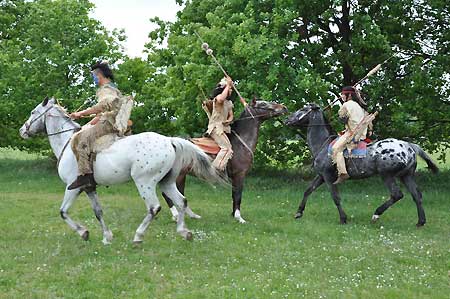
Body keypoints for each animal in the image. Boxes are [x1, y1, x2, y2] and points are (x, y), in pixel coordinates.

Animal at [19, 97, 225, 245]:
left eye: (32, 112)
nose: (22, 130)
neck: (67, 142)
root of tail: (169, 140)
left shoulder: (74, 187)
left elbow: (63, 212)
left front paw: (84, 233)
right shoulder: (89, 188)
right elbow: (98, 212)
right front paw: (107, 237)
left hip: (145, 182)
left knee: (154, 207)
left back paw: (138, 236)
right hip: (166, 182)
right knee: (181, 201)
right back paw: (184, 232)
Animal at [286, 103, 438, 227]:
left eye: (303, 109)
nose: (287, 119)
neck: (323, 144)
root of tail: (409, 146)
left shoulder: (328, 177)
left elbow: (335, 197)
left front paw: (343, 218)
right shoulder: (321, 176)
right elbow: (308, 190)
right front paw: (299, 212)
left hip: (387, 175)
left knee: (397, 195)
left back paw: (376, 214)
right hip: (406, 176)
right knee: (417, 195)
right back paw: (420, 222)